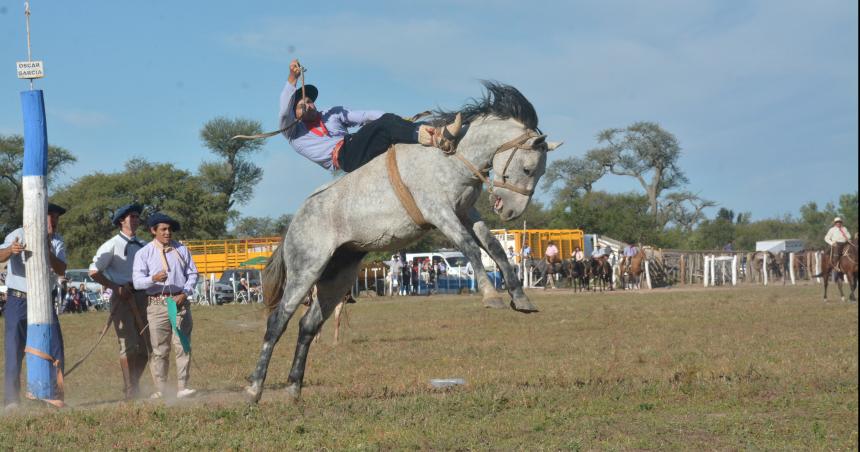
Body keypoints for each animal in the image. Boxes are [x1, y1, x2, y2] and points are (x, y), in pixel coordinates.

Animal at [245, 82, 560, 402]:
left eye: (540, 172)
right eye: (528, 169)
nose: (511, 212)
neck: (449, 157)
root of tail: (293, 224)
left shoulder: (466, 211)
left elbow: (494, 247)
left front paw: (521, 297)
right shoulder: (439, 211)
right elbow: (469, 247)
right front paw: (491, 296)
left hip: (337, 277)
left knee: (307, 325)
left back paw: (294, 387)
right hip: (305, 271)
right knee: (277, 322)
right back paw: (254, 387)